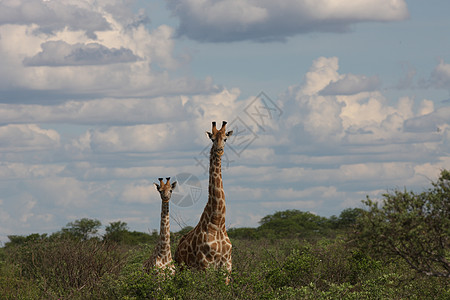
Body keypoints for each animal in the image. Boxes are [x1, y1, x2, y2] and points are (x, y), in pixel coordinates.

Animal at [174, 120, 234, 282]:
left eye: (225, 139)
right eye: (212, 139)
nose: (219, 150)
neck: (218, 221)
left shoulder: (227, 265)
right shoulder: (205, 265)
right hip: (182, 269)